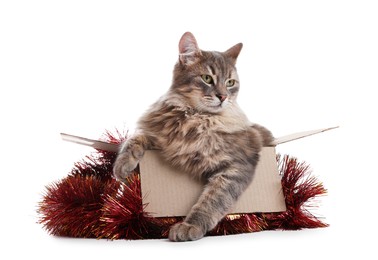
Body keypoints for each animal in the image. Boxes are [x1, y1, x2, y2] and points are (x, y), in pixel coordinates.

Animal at [111, 32, 272, 242]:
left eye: (230, 83)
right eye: (207, 78)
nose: (223, 97)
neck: (196, 119)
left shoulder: (236, 166)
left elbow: (212, 200)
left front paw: (190, 226)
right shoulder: (161, 137)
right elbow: (135, 138)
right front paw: (122, 165)